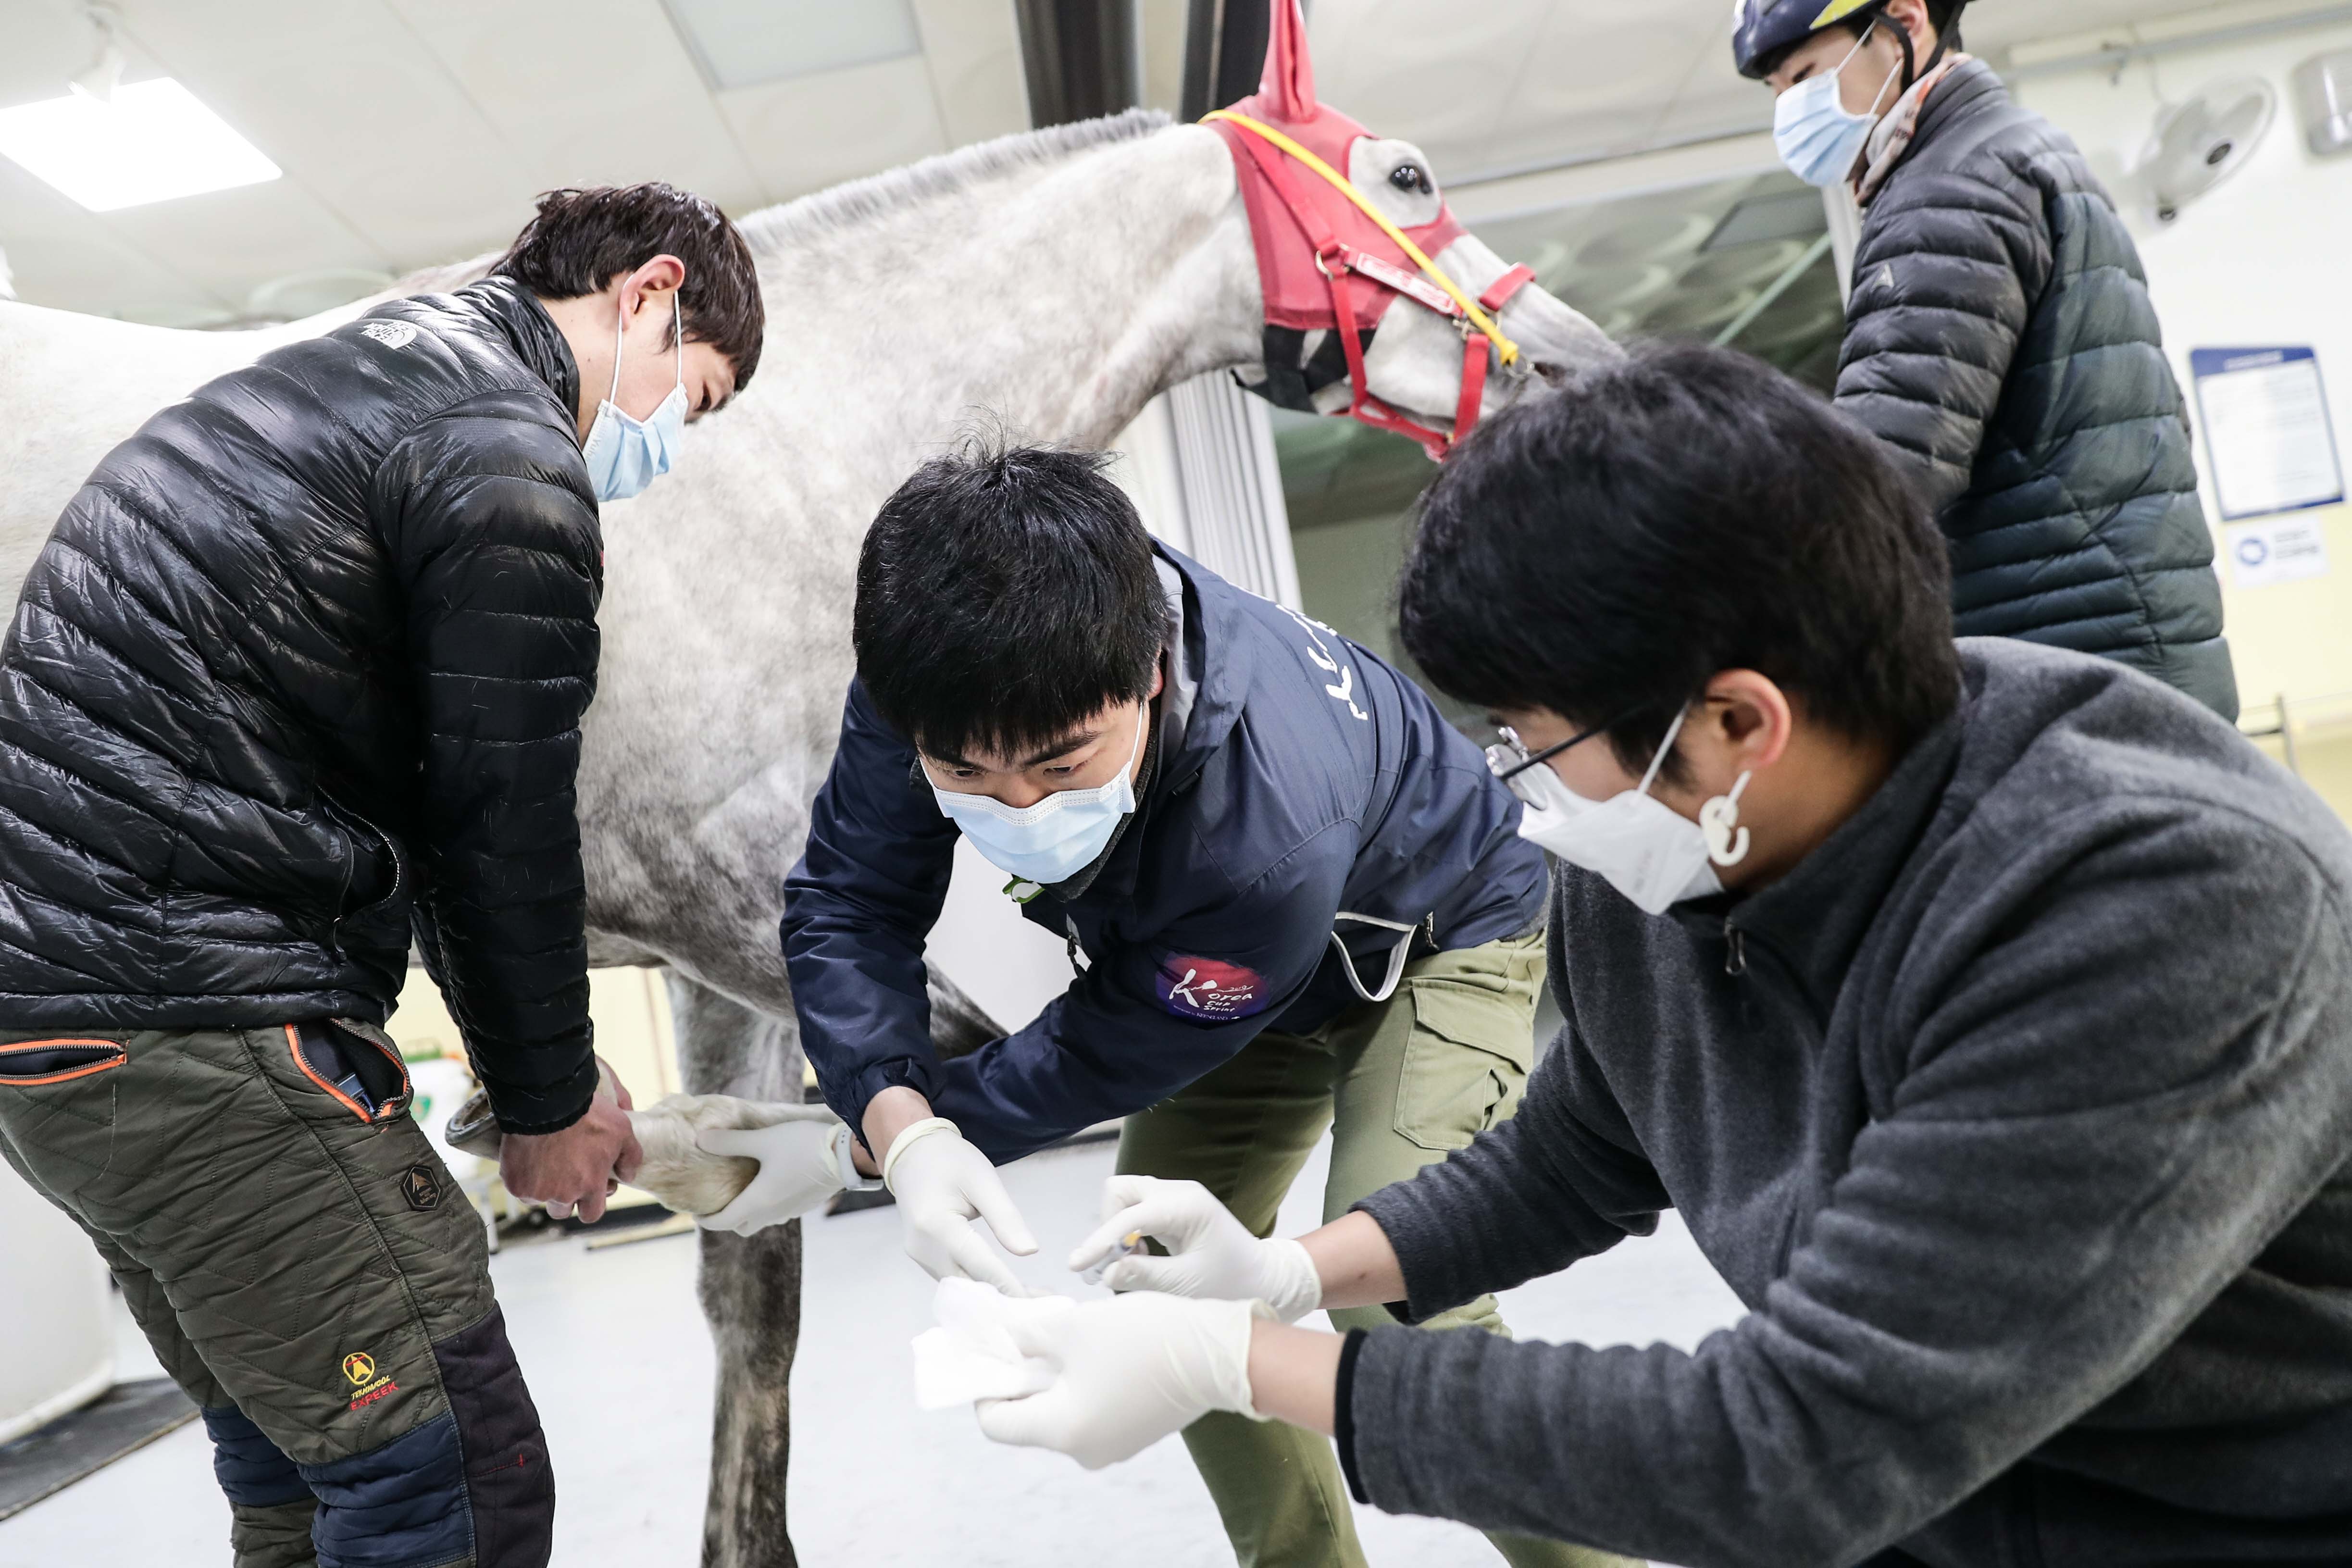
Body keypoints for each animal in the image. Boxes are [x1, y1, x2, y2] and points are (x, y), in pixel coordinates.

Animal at [0, 107, 1618, 1561]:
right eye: (1404, 175)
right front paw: (578, 1141)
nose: (1581, 365)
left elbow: (758, 1282)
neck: (768, 477)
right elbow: (938, 1067)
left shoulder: (727, 942)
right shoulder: (684, 888)